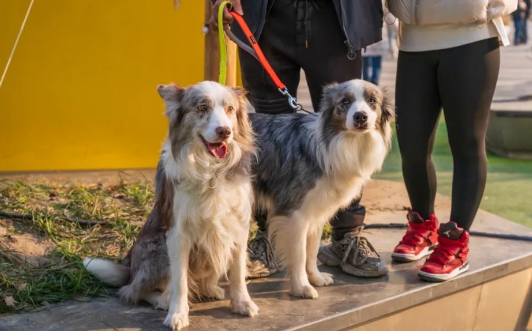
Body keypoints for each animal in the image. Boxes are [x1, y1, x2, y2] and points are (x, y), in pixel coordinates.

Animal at [84, 81, 258, 330]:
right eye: (202, 107)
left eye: (230, 109)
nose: (225, 131)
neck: (211, 171)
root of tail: (131, 269)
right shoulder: (178, 234)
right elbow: (180, 281)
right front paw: (177, 314)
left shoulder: (238, 226)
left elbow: (238, 271)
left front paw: (242, 303)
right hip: (157, 248)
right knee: (132, 291)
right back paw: (162, 300)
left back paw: (211, 288)